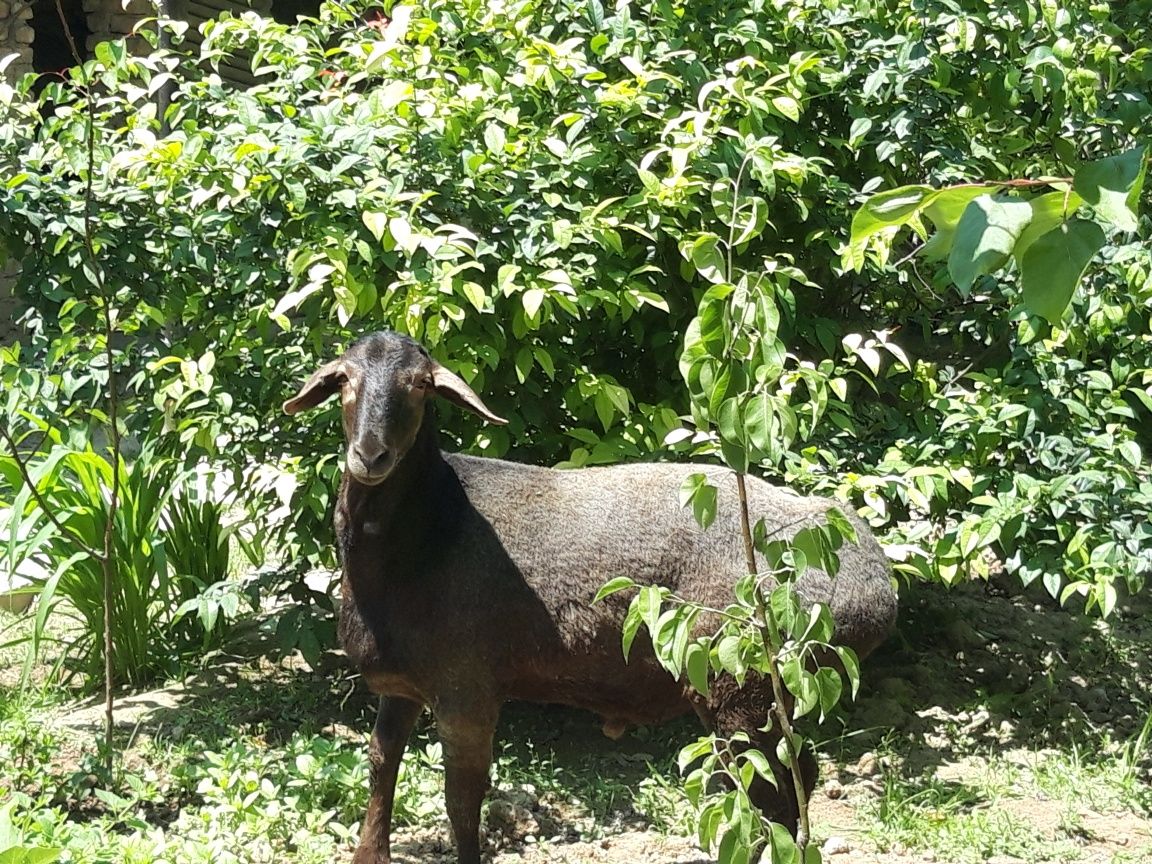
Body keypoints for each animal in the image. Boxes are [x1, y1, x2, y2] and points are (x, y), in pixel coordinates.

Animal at [283, 329, 893, 864]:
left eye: (419, 385)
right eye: (345, 380)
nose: (371, 456)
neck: (430, 532)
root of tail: (877, 579)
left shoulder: (467, 686)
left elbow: (462, 799)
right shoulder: (402, 686)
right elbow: (381, 765)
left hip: (741, 681)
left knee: (771, 790)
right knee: (796, 778)